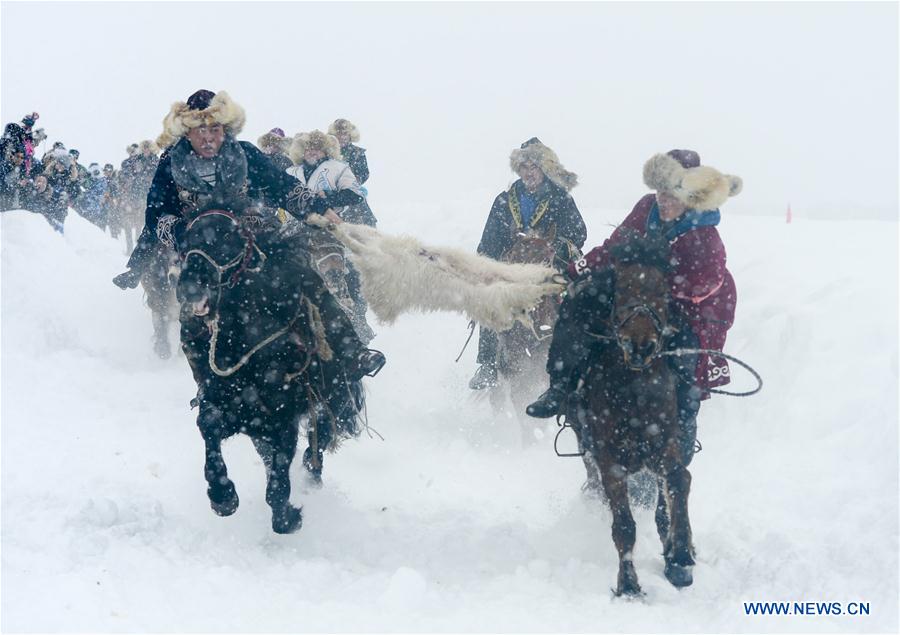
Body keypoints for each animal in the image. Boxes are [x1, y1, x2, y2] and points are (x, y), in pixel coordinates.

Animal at [175, 211, 362, 536]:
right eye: (186, 242)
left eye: (225, 238)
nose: (189, 287)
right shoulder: (227, 407)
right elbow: (208, 427)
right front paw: (223, 497)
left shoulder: (282, 419)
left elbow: (279, 474)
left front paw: (289, 517)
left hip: (331, 400)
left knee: (320, 437)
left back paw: (312, 474)